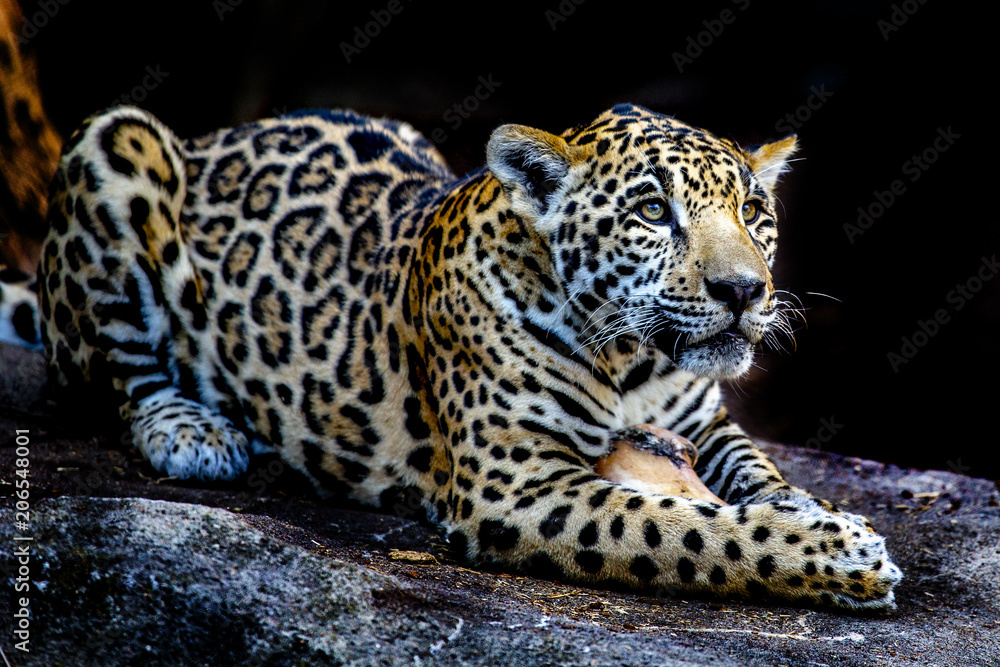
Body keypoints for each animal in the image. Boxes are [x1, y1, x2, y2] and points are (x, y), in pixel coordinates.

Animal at [28, 101, 901, 611]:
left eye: (753, 211)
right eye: (654, 211)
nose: (743, 290)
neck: (637, 361)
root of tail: (215, 137)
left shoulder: (704, 424)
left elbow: (758, 474)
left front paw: (806, 508)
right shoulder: (515, 483)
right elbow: (687, 531)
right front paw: (840, 553)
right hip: (117, 144)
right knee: (116, 373)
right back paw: (192, 432)